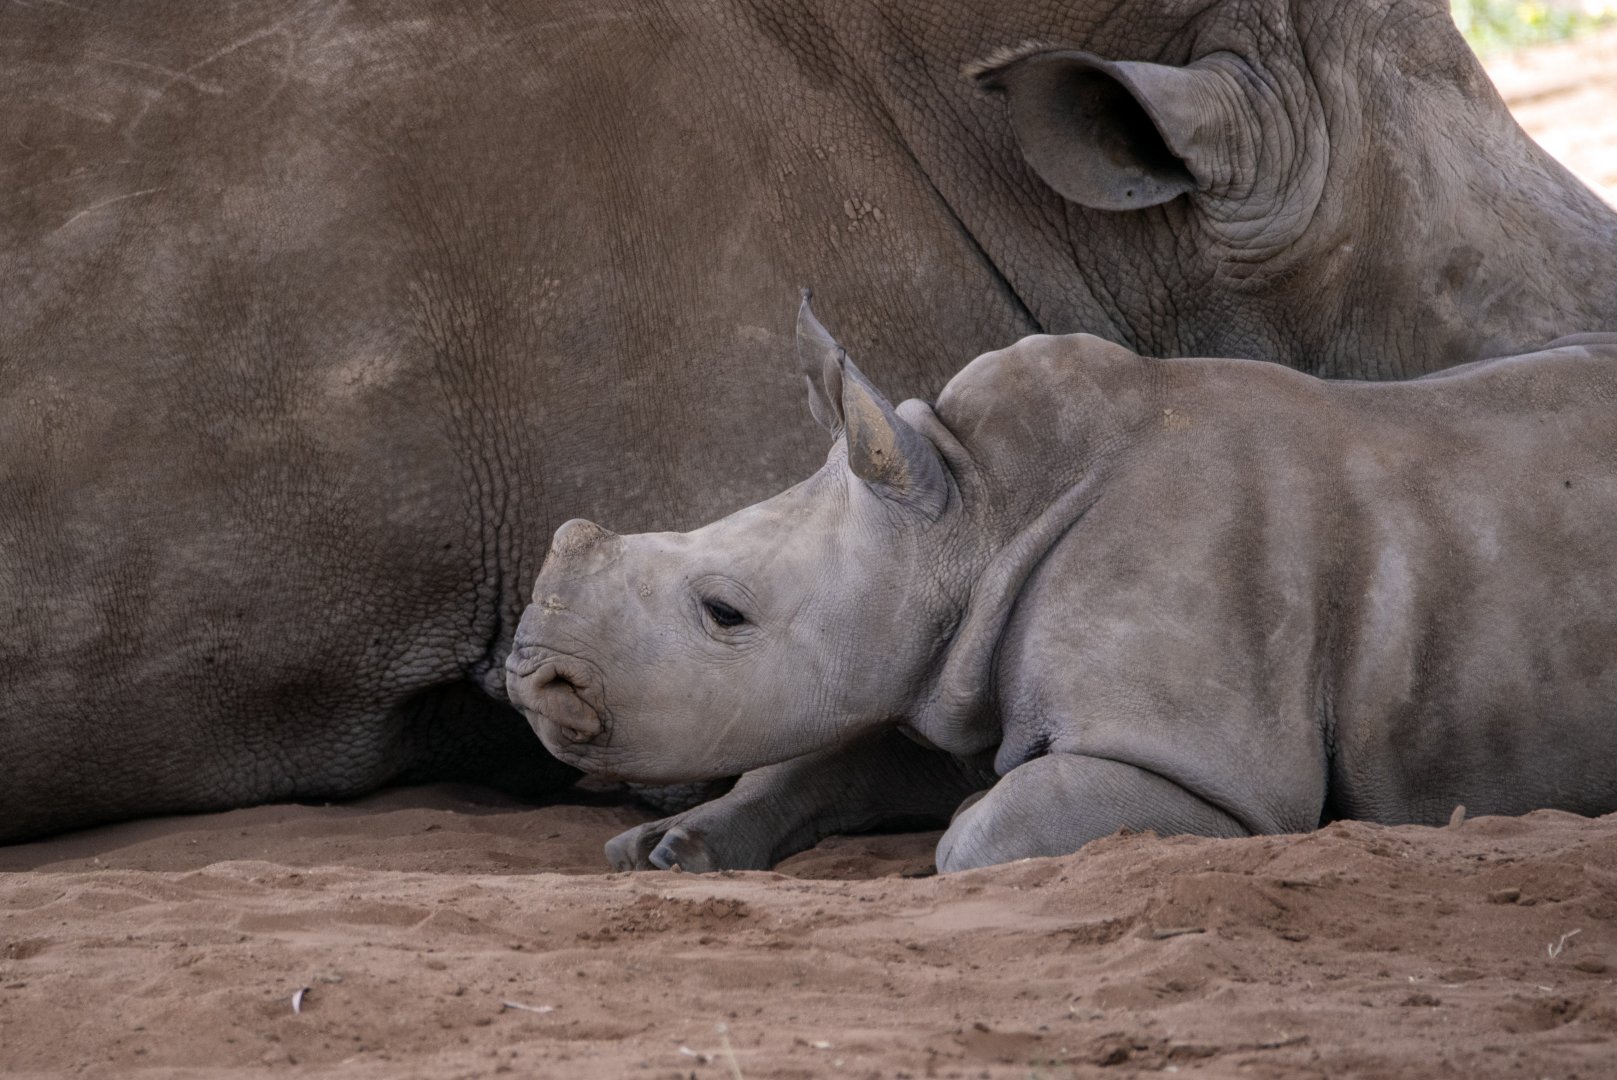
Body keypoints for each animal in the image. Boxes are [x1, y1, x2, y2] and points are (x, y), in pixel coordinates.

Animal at [507, 300, 1617, 871]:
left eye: (724, 612)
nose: (532, 677)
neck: (977, 509)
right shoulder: (946, 664)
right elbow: (828, 760)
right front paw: (661, 849)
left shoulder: (1198, 763)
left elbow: (982, 832)